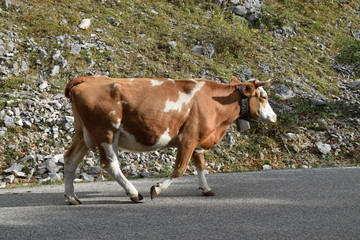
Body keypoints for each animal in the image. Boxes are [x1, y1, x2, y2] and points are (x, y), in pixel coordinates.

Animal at [63, 75, 278, 204]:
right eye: (264, 97)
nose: (275, 117)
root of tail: (88, 79)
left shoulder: (199, 140)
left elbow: (200, 165)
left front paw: (206, 188)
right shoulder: (188, 138)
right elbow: (179, 169)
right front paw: (157, 189)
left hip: (83, 133)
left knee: (70, 159)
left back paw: (72, 197)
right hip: (106, 132)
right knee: (110, 164)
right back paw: (134, 193)